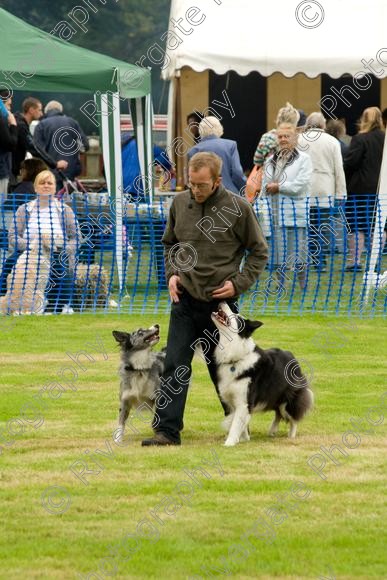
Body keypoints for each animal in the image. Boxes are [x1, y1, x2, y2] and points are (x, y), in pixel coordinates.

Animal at [211, 302, 314, 446]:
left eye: (237, 317)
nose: (222, 302)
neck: (236, 355)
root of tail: (291, 355)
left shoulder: (244, 401)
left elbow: (235, 424)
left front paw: (229, 443)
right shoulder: (231, 400)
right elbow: (239, 424)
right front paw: (244, 439)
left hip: (289, 399)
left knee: (293, 417)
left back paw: (291, 436)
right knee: (278, 414)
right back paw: (272, 431)